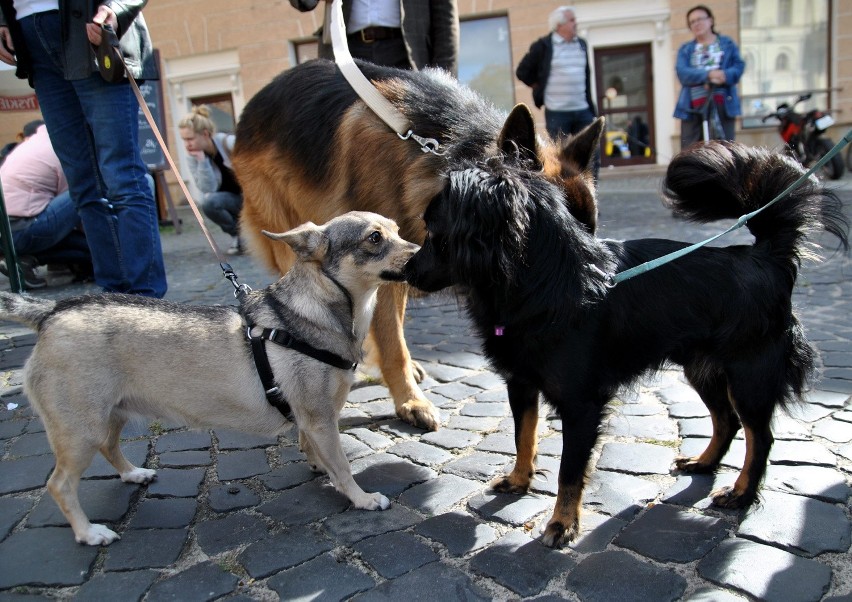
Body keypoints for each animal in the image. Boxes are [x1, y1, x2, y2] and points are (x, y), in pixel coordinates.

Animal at [0, 211, 420, 544]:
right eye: (375, 238)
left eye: (398, 230)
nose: (420, 251)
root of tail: (53, 310)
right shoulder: (319, 417)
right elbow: (344, 467)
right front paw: (362, 498)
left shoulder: (313, 419)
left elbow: (315, 449)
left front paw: (319, 465)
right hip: (80, 430)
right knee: (59, 484)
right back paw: (88, 533)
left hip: (110, 415)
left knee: (109, 447)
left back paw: (133, 474)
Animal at [402, 131, 848, 544]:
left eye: (435, 233)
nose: (406, 270)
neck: (545, 283)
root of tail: (767, 258)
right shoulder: (521, 384)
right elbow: (523, 436)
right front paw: (519, 480)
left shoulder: (581, 405)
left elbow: (569, 472)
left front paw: (562, 523)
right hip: (702, 369)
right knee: (727, 420)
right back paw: (704, 464)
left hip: (749, 375)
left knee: (761, 436)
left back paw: (740, 493)